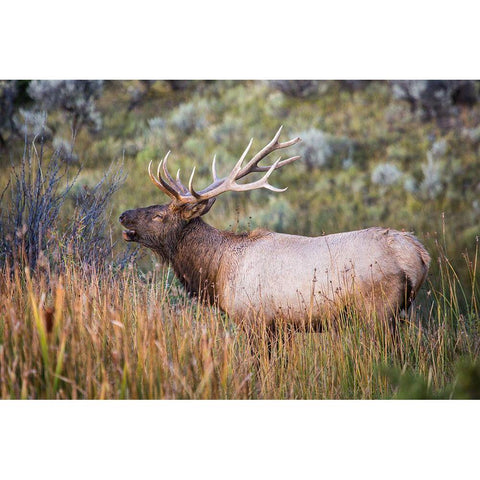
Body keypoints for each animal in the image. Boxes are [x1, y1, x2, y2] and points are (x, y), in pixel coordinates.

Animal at [120, 125, 432, 332]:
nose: (124, 216)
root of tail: (418, 254)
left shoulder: (255, 319)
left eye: (159, 215)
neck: (217, 272)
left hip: (379, 311)